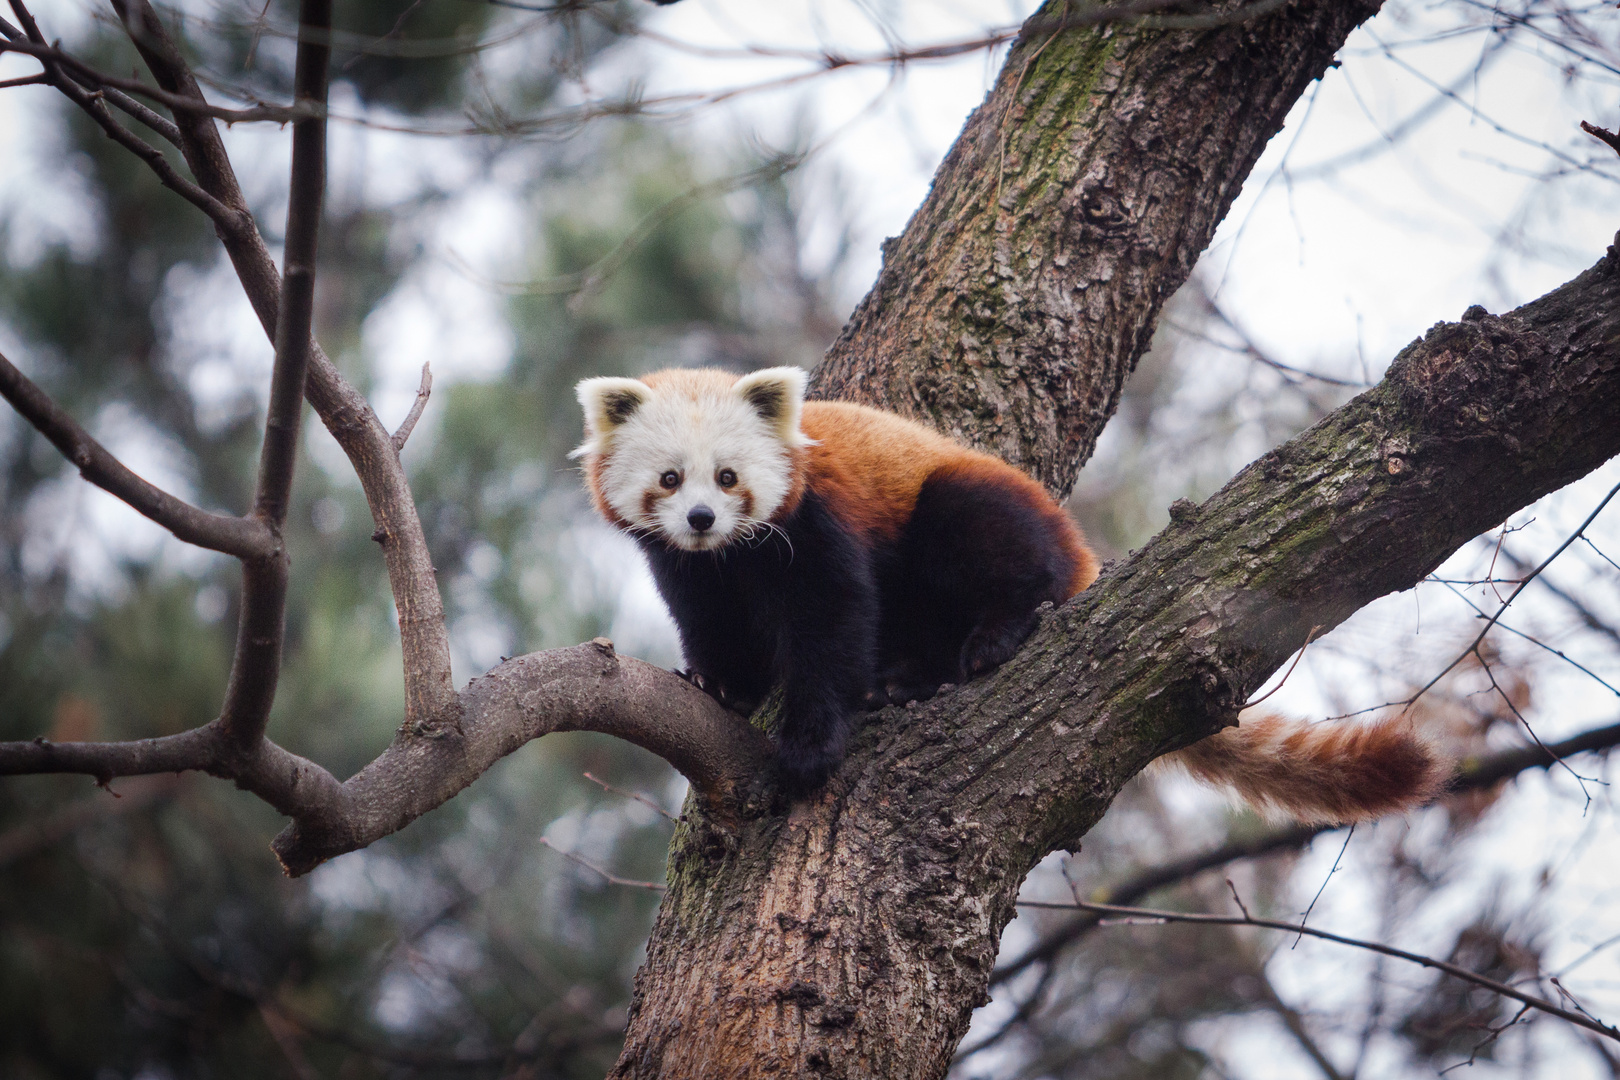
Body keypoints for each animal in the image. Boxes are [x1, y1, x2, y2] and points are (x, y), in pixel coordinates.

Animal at [573, 367, 1445, 816]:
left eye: (728, 477)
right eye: (671, 480)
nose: (701, 518)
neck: (735, 557)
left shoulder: (819, 523)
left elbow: (835, 622)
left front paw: (810, 746)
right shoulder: (693, 570)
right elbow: (711, 621)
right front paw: (722, 684)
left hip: (972, 508)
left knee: (987, 547)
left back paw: (987, 639)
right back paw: (907, 681)